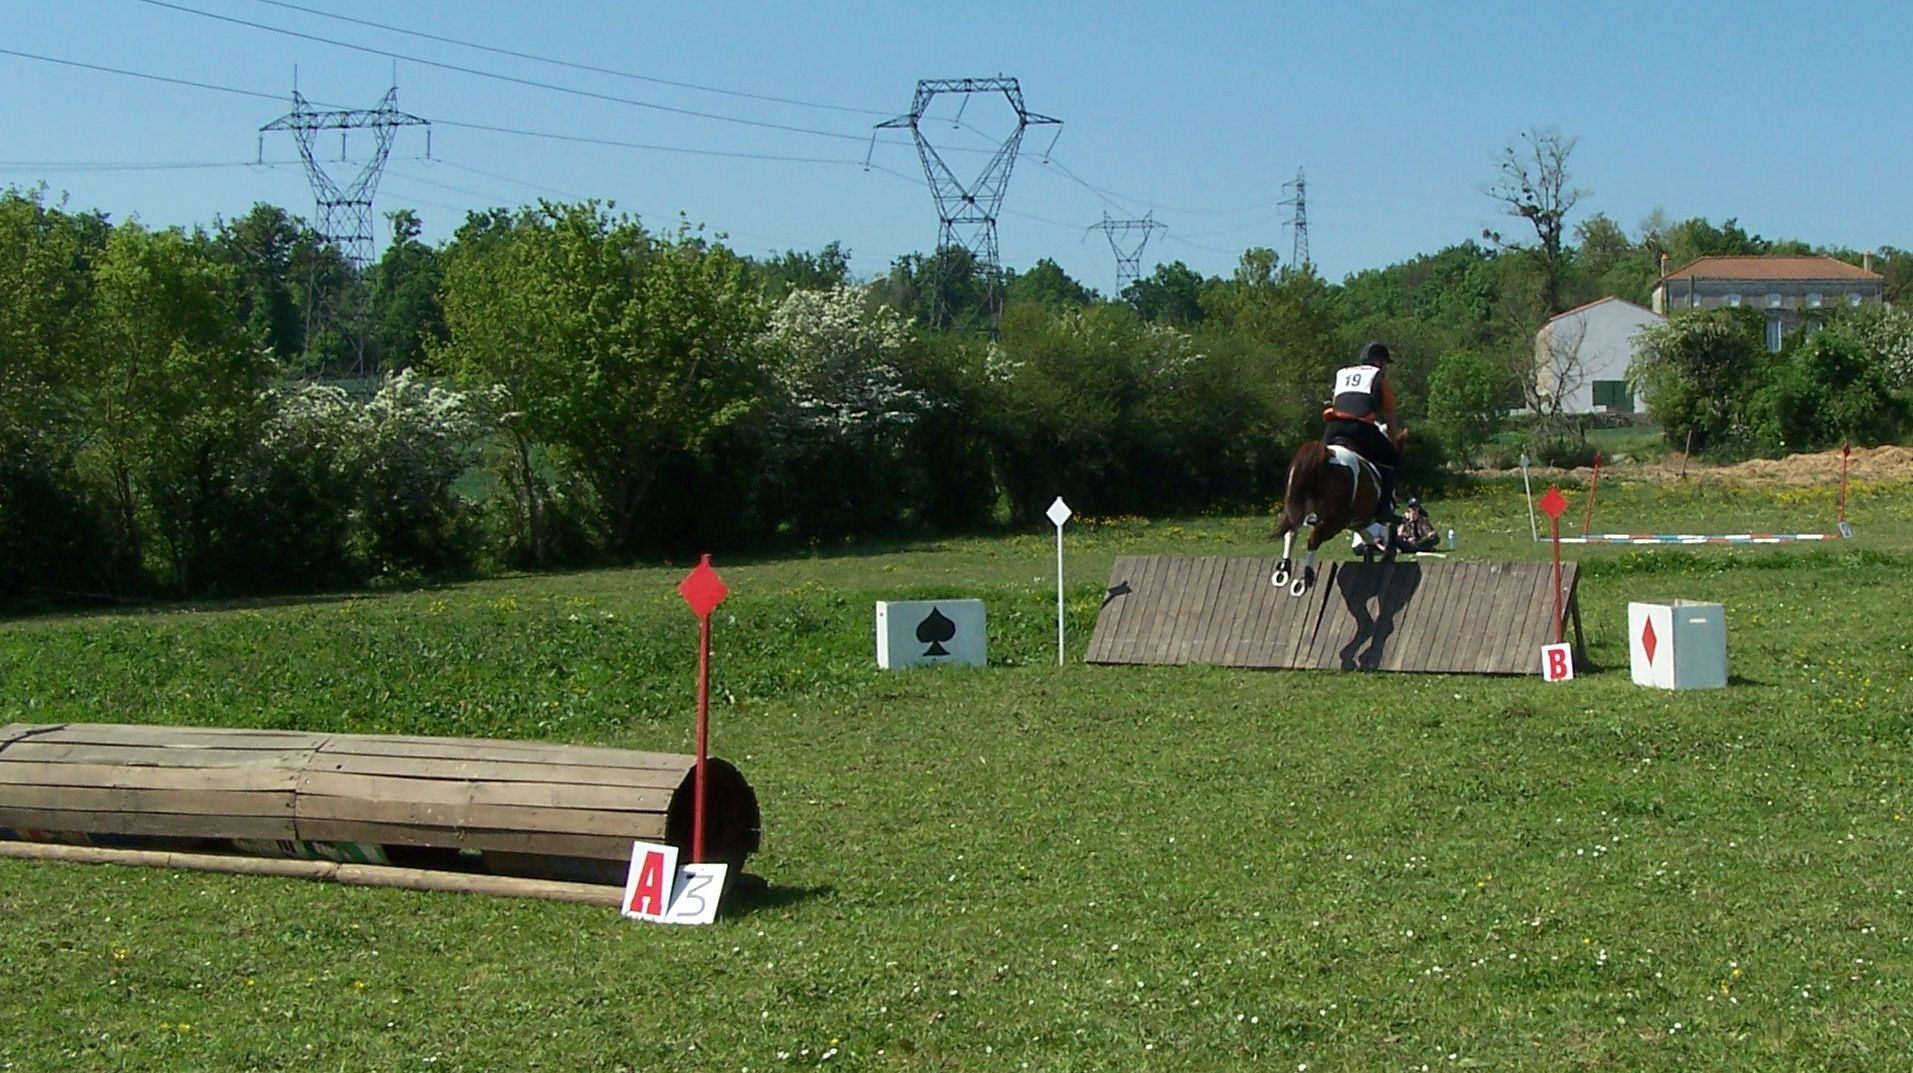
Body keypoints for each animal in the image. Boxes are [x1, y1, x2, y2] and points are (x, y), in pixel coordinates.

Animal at [1270, 426, 1407, 592]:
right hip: (1334, 522)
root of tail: (1325, 454)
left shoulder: (1357, 522)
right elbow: (1389, 525)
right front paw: (1388, 553)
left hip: (1300, 508)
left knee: (1291, 532)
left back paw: (1284, 570)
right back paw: (1306, 577)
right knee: (1314, 538)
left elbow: (1368, 537)